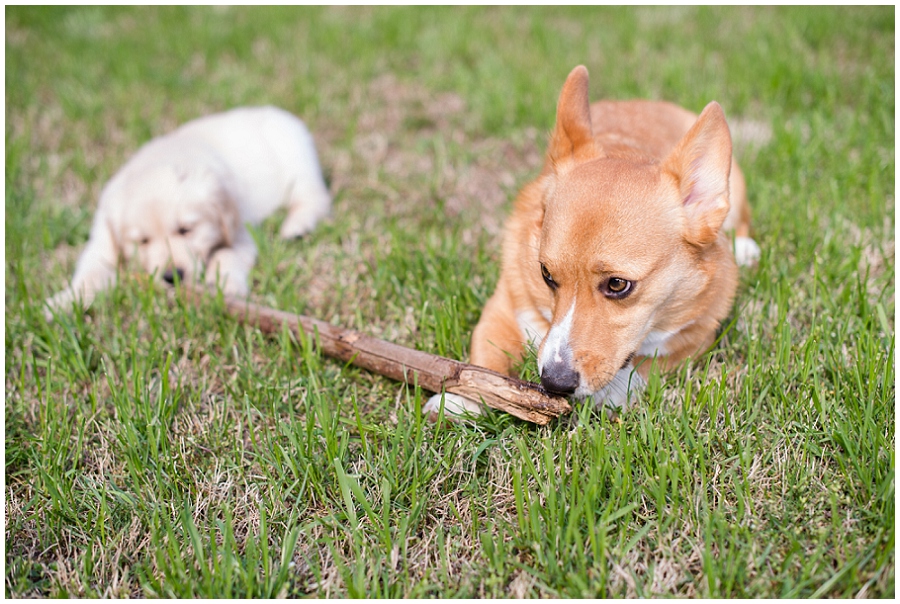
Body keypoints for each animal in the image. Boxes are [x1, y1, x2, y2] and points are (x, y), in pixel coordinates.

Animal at [44, 105, 330, 316]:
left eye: (185, 229)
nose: (172, 277)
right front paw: (63, 303)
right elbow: (91, 271)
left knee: (314, 196)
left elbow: (226, 255)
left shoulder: (239, 231)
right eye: (142, 241)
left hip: (297, 158)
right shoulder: (102, 239)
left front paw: (225, 286)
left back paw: (297, 226)